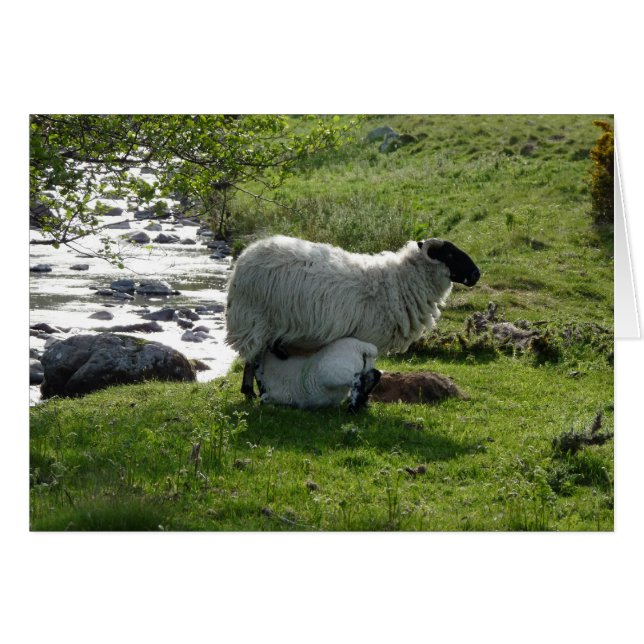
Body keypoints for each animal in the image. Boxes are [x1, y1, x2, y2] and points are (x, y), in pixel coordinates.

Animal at [225, 235, 480, 397]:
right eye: (449, 253)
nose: (476, 273)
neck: (399, 282)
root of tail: (246, 255)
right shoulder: (368, 338)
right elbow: (368, 373)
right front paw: (360, 400)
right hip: (254, 319)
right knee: (253, 359)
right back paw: (251, 393)